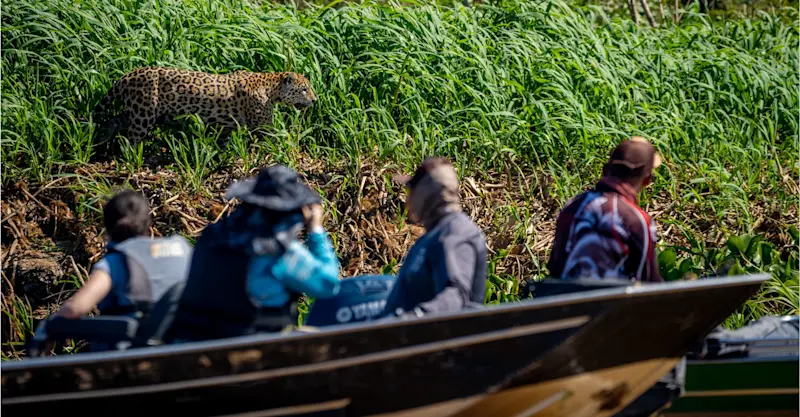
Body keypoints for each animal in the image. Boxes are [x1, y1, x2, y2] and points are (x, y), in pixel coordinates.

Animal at [91, 66, 317, 144]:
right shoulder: (264, 125)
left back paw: (102, 138)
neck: (271, 87)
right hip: (143, 115)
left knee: (115, 119)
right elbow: (278, 137)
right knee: (131, 139)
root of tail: (128, 75)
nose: (315, 100)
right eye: (304, 89)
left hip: (137, 110)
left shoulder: (227, 126)